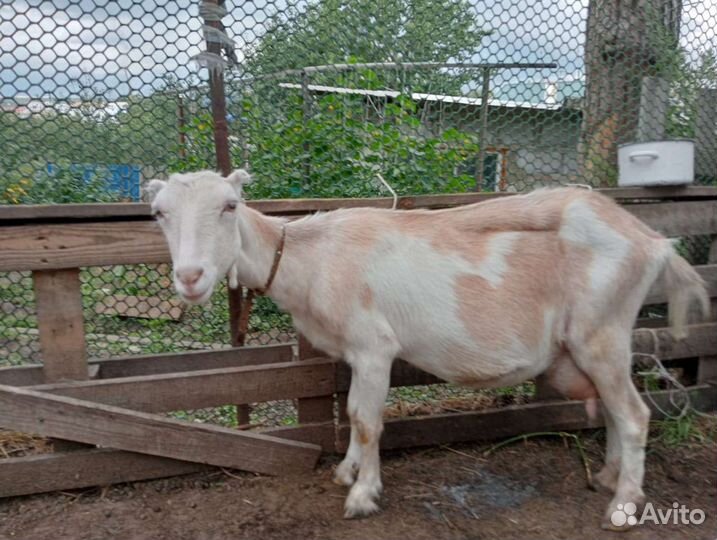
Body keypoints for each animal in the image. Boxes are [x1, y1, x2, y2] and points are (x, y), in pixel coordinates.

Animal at [148, 169, 709, 529]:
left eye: (230, 206)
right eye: (159, 214)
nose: (190, 277)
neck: (312, 258)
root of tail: (654, 241)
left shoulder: (374, 346)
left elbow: (367, 419)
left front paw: (363, 495)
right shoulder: (358, 354)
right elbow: (353, 412)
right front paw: (348, 472)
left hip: (601, 330)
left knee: (634, 414)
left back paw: (624, 506)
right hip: (599, 340)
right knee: (615, 410)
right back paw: (609, 477)